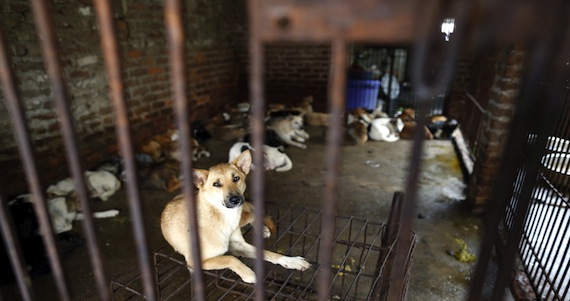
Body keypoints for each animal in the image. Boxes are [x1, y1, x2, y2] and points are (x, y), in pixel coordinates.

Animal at [160, 150, 310, 284]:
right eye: (216, 184)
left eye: (236, 178)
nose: (235, 200)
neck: (223, 218)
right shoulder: (195, 262)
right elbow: (230, 258)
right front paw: (248, 273)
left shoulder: (239, 244)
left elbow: (268, 253)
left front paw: (290, 261)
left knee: (252, 214)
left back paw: (262, 229)